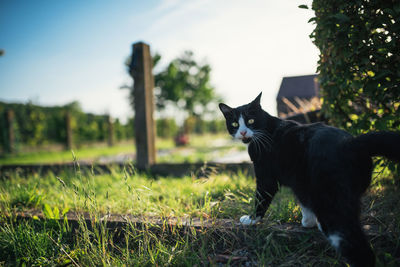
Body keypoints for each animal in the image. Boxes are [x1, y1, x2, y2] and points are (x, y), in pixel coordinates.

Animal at [219, 92, 400, 267]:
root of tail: (352, 142)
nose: (242, 132)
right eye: (234, 124)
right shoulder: (300, 179)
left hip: (331, 197)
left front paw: (251, 220)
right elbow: (304, 200)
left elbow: (262, 198)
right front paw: (309, 221)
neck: (266, 130)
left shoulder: (267, 176)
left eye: (250, 120)